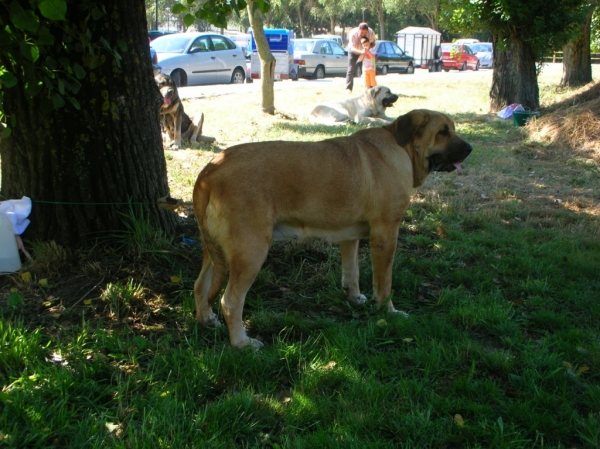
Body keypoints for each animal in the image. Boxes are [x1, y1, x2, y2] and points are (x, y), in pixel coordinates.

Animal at [195, 108, 472, 346]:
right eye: (443, 131)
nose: (470, 149)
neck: (401, 147)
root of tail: (209, 172)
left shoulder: (349, 236)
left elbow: (352, 273)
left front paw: (355, 299)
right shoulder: (385, 234)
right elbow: (384, 283)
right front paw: (388, 311)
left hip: (214, 251)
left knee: (200, 286)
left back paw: (207, 319)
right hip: (251, 252)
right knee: (231, 301)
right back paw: (242, 343)